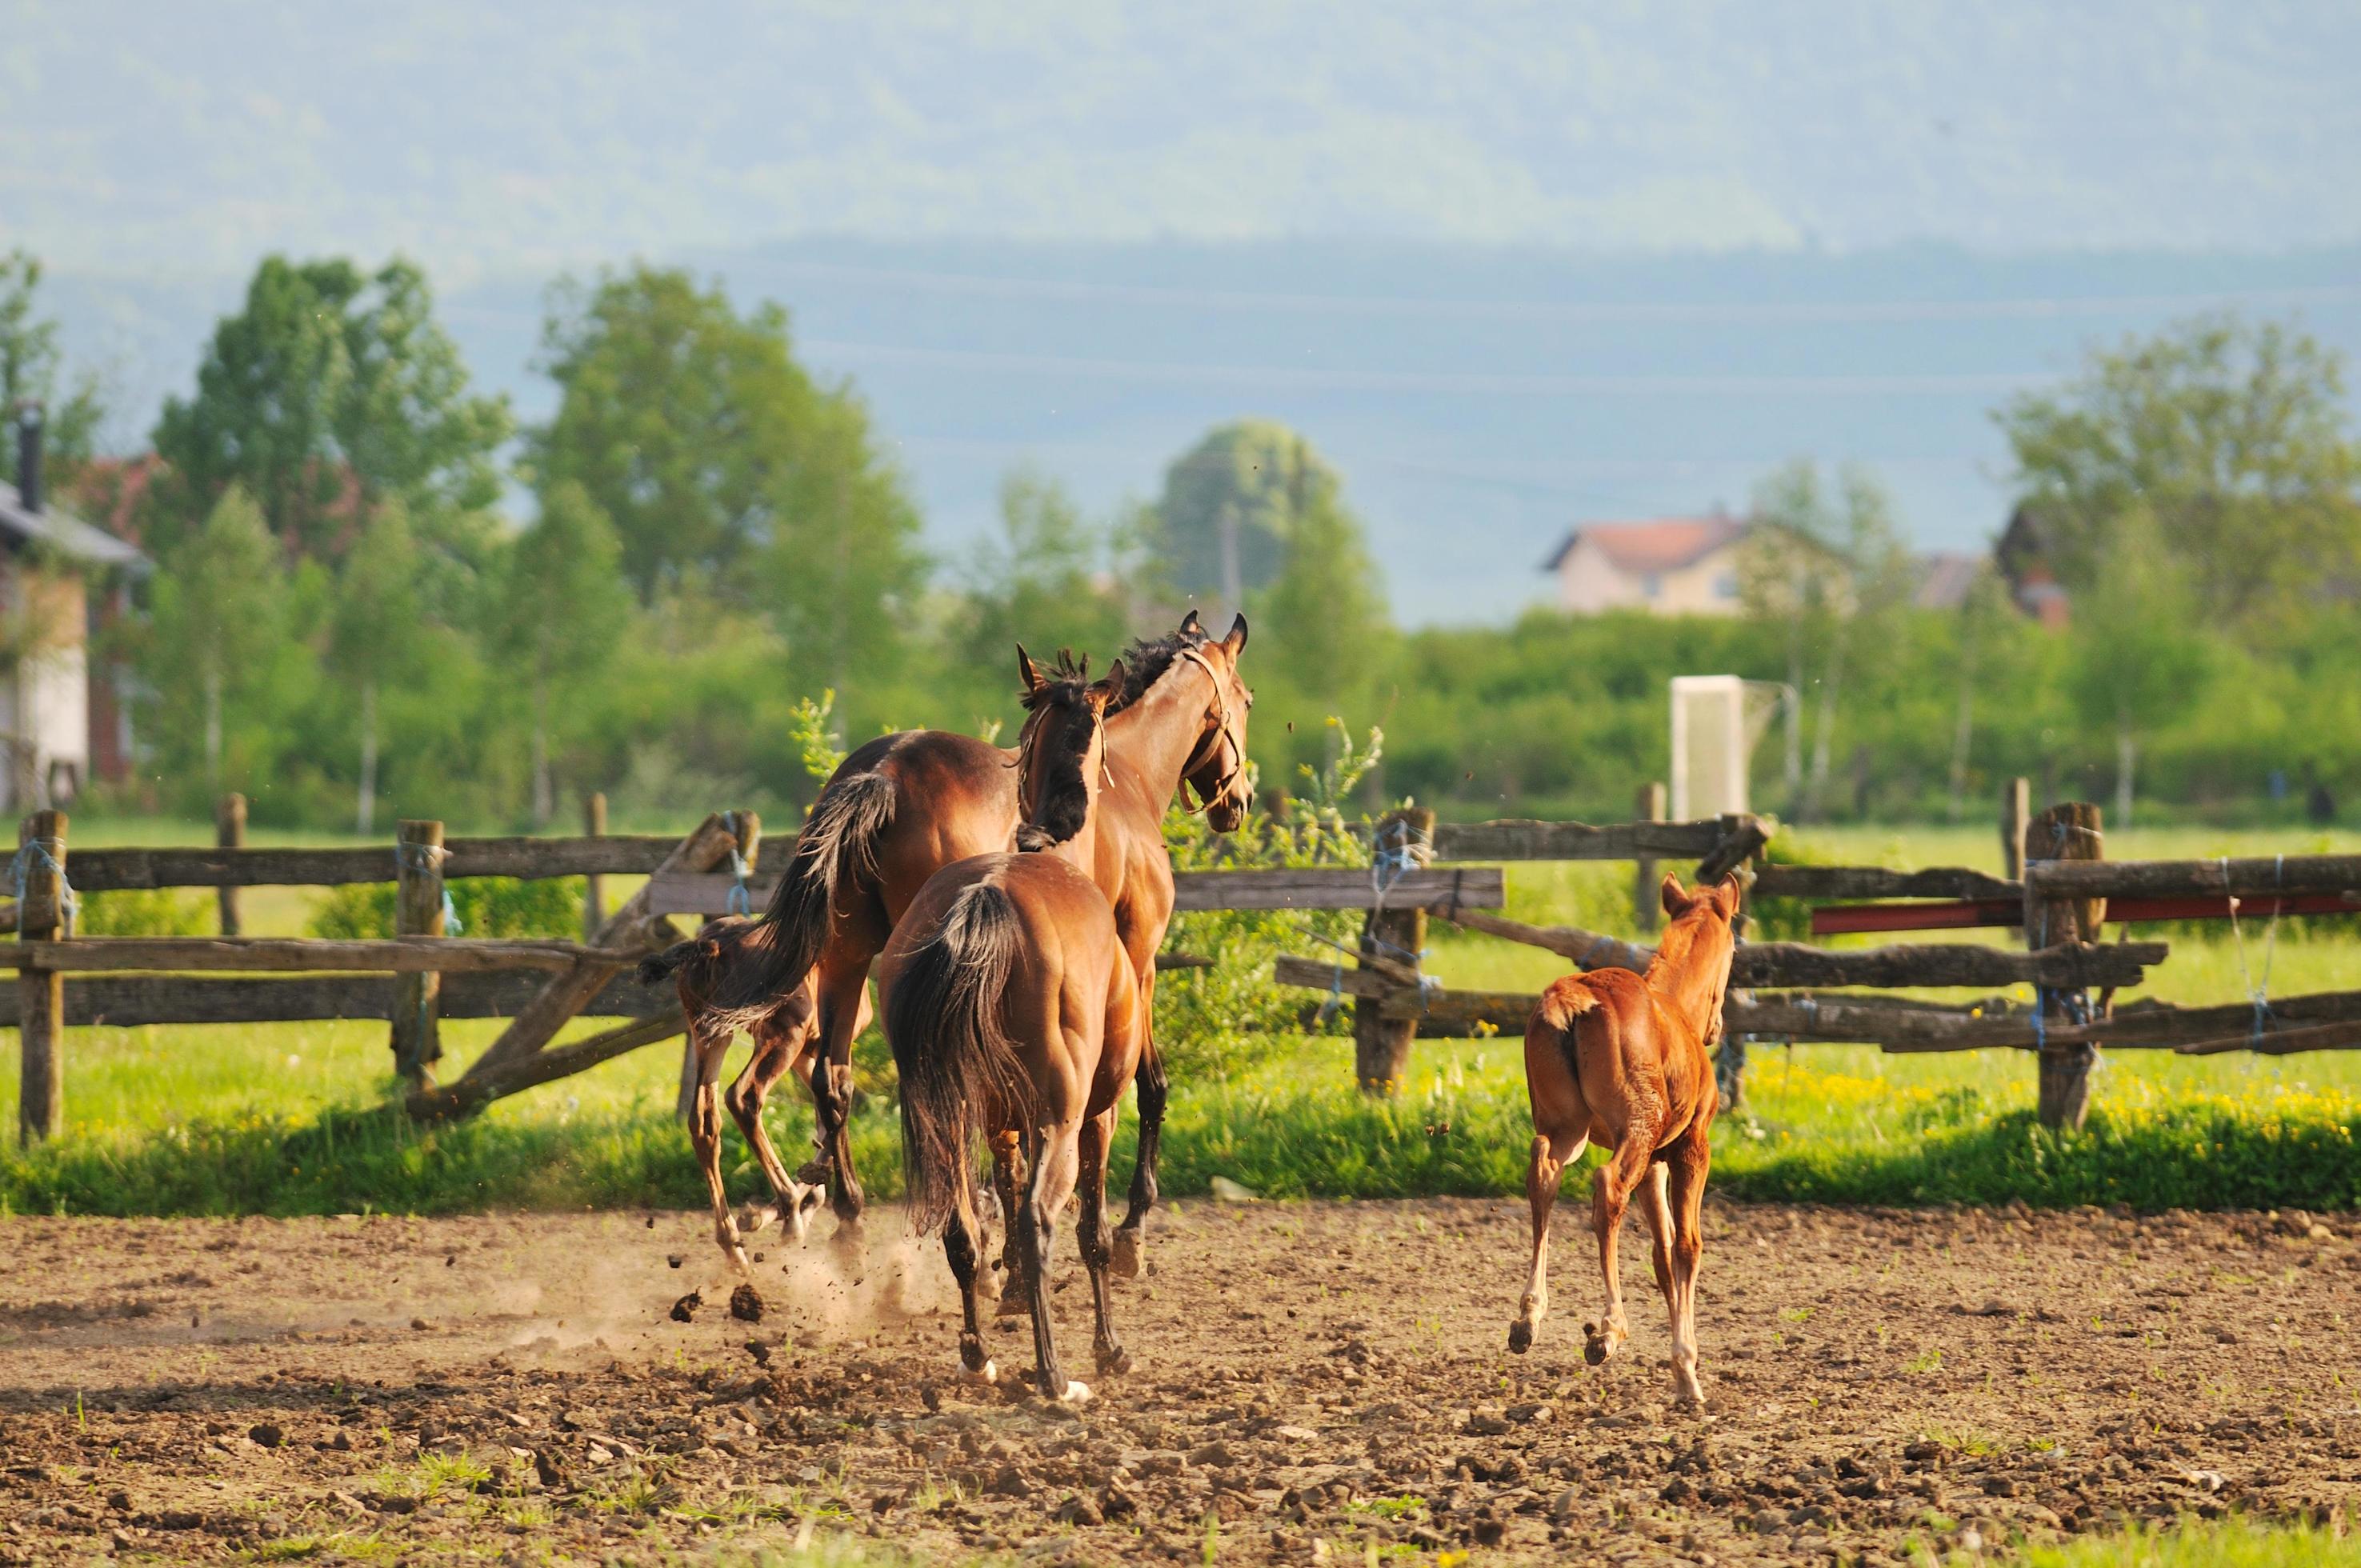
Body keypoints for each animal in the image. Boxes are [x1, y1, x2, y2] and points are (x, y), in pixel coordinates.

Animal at [698, 609, 1255, 1266]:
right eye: (1246, 699)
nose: (1239, 800)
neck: (1123, 778)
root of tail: (881, 772)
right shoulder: (1140, 961)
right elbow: (1150, 1087)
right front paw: (1132, 1222)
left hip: (847, 959)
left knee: (832, 1084)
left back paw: (850, 1220)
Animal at [882, 646, 1147, 1398]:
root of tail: (984, 901)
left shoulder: (999, 1120)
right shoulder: (1096, 1114)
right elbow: (1092, 1231)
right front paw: (1109, 1349)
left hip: (945, 1115)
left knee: (960, 1229)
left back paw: (978, 1357)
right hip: (1059, 1116)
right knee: (1038, 1222)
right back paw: (1054, 1375)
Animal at [1501, 869, 1747, 1407]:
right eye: (1734, 952)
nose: (1719, 1026)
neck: (1675, 1008)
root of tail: (1574, 998)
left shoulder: (1655, 1160)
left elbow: (1662, 1251)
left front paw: (1682, 1374)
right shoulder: (1690, 1147)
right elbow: (1687, 1246)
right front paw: (1688, 1369)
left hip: (1566, 1129)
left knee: (1543, 1174)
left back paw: (1528, 1319)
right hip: (1634, 1127)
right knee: (1608, 1188)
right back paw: (1609, 1329)